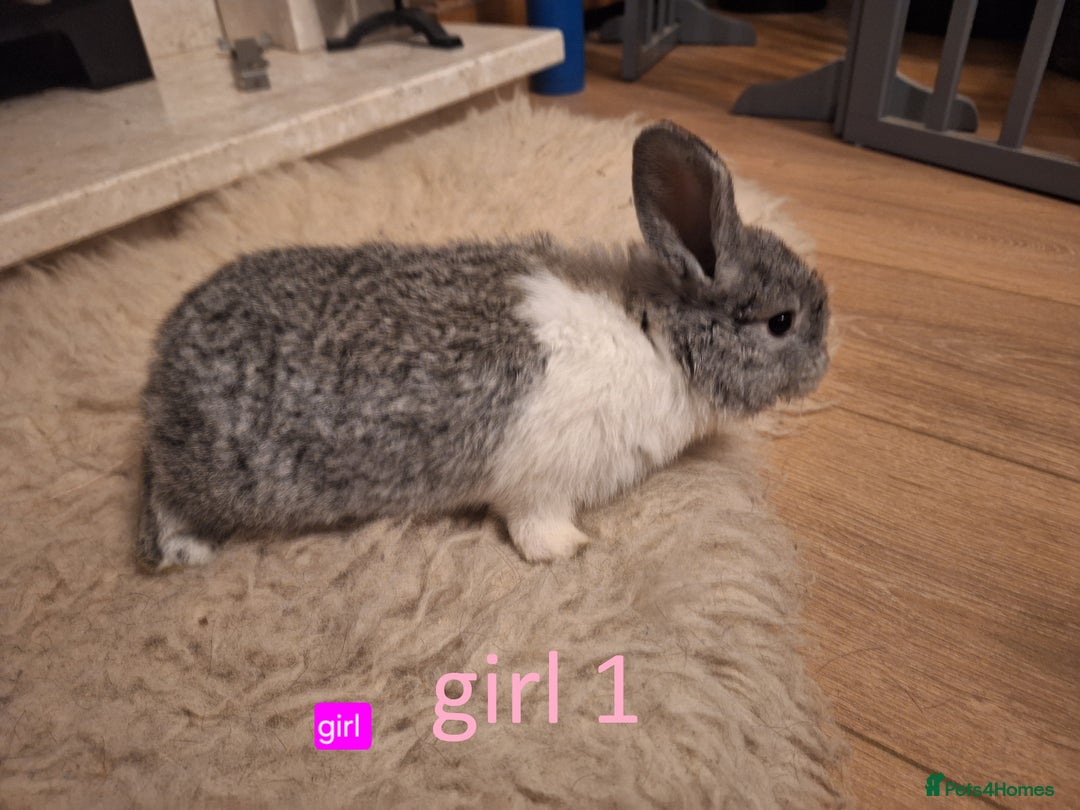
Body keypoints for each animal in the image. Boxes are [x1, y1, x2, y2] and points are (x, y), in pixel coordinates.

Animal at [136, 121, 829, 570]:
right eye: (782, 322)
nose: (825, 364)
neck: (659, 337)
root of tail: (161, 363)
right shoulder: (543, 484)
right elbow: (535, 527)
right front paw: (571, 550)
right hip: (218, 476)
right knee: (166, 496)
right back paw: (183, 551)